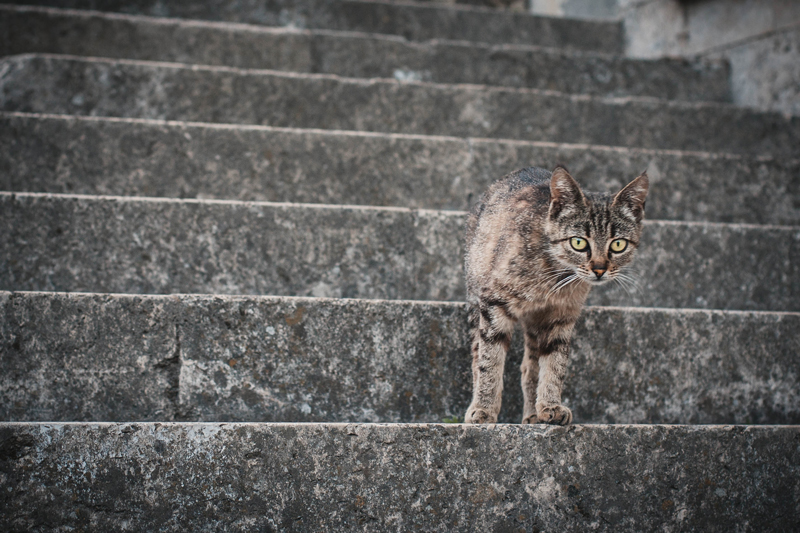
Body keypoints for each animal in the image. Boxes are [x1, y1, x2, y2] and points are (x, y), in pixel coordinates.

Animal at [462, 166, 648, 424]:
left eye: (618, 245)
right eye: (578, 242)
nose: (599, 269)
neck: (555, 278)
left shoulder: (562, 317)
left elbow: (554, 364)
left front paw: (550, 405)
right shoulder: (493, 301)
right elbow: (490, 360)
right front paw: (484, 410)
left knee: (529, 368)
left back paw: (532, 414)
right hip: (474, 295)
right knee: (477, 353)